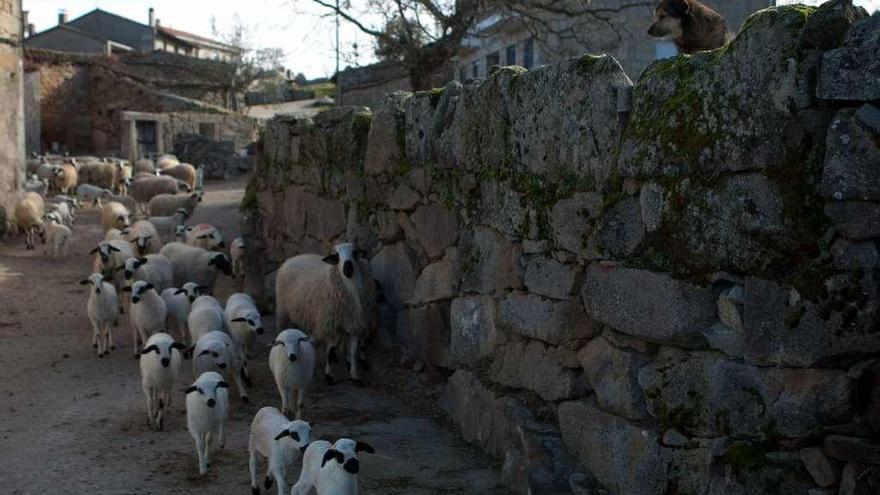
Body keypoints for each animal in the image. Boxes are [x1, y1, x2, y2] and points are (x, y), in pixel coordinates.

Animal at [276, 244, 376, 388]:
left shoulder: (354, 324)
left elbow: (353, 353)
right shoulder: (330, 324)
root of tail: (292, 258)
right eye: (337, 256)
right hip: (283, 312)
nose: (348, 268)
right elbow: (330, 352)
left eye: (354, 253)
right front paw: (329, 376)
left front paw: (355, 377)